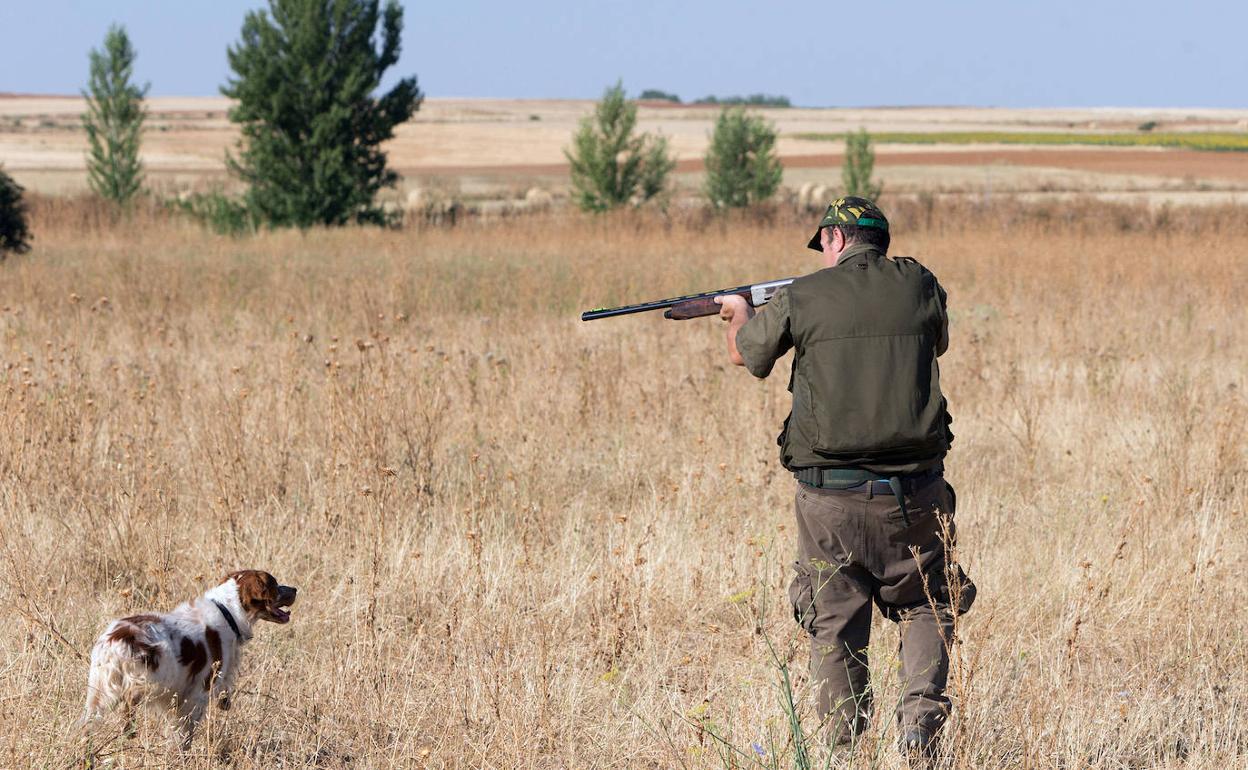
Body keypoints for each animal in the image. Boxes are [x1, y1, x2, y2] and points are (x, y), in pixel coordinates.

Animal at [82, 571, 297, 743]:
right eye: (274, 584)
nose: (295, 589)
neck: (228, 613)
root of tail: (115, 640)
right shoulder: (198, 694)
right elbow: (185, 734)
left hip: (98, 694)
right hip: (150, 681)